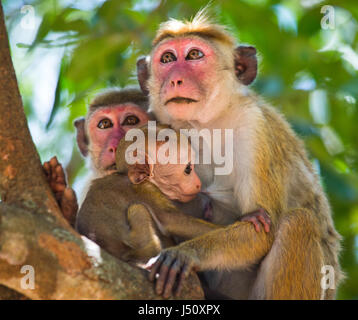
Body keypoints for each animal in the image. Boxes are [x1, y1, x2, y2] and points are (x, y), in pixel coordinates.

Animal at [77, 125, 270, 268]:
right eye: (188, 169)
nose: (198, 183)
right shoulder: (145, 190)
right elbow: (172, 220)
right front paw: (248, 217)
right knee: (137, 210)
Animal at [136, 10, 342, 300]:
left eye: (194, 55)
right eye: (167, 59)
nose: (175, 79)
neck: (205, 125)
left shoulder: (254, 128)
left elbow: (262, 231)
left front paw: (186, 254)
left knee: (298, 222)